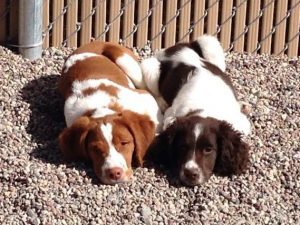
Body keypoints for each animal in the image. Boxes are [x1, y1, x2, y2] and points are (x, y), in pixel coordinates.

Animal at [58, 40, 162, 185]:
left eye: (124, 143)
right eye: (95, 149)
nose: (114, 173)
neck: (101, 107)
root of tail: (92, 42)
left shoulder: (146, 98)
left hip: (127, 63)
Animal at [141, 35, 251, 186]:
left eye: (208, 149)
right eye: (182, 147)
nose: (190, 174)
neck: (205, 107)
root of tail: (181, 45)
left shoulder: (241, 123)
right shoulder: (171, 115)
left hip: (210, 43)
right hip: (149, 68)